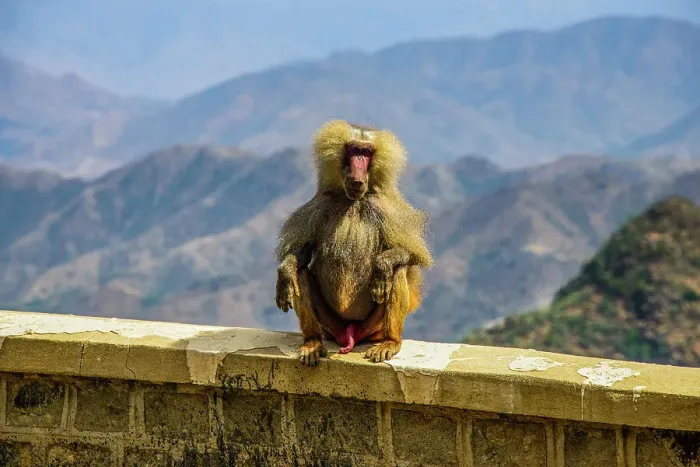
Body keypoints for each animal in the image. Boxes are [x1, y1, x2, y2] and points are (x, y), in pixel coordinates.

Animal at [275, 120, 433, 366]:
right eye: (353, 150)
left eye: (366, 153)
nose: (357, 175)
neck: (354, 201)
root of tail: (349, 335)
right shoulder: (321, 205)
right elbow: (302, 254)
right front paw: (284, 272)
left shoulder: (387, 208)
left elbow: (412, 254)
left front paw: (382, 265)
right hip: (330, 326)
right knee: (299, 274)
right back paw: (311, 342)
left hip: (373, 328)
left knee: (398, 270)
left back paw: (390, 342)